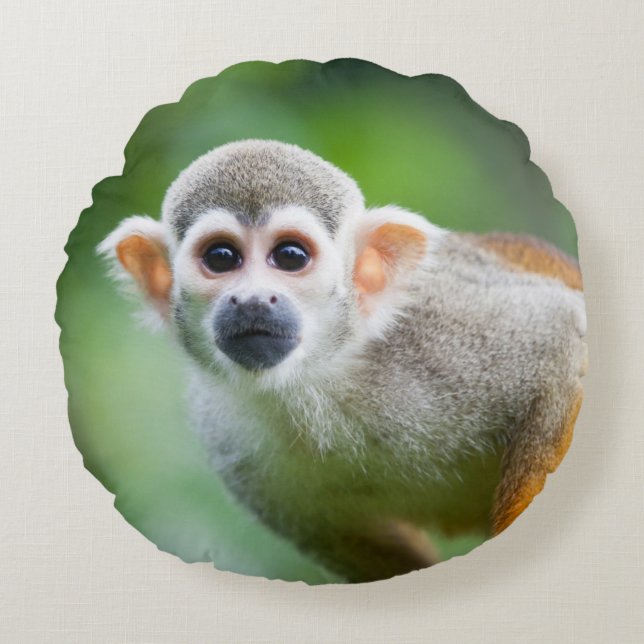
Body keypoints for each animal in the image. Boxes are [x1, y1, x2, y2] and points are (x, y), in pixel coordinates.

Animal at [98, 139, 587, 583]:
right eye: (221, 258)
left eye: (289, 256)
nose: (252, 300)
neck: (319, 379)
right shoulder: (227, 438)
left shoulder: (443, 331)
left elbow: (562, 339)